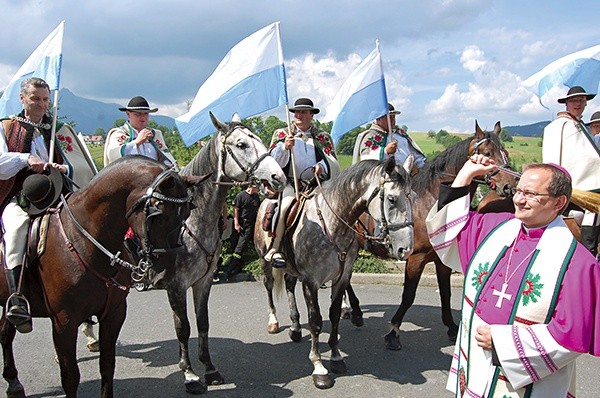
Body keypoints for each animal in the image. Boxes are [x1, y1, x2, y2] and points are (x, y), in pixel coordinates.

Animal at [0, 156, 205, 398]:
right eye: (158, 214)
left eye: (187, 213)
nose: (166, 270)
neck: (84, 241)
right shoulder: (64, 321)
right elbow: (70, 377)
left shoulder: (114, 313)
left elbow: (107, 366)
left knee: (5, 333)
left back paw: (13, 382)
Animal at [145, 112, 286, 394]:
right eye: (242, 144)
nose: (278, 177)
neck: (189, 221)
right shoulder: (176, 285)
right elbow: (183, 327)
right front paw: (189, 374)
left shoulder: (203, 281)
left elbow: (202, 323)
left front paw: (209, 369)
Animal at [252, 155, 412, 388]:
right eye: (391, 199)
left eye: (412, 197)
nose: (405, 249)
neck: (331, 223)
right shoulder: (311, 281)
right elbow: (316, 321)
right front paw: (319, 367)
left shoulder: (341, 278)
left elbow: (334, 315)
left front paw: (336, 357)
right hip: (265, 260)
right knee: (269, 285)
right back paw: (273, 321)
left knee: (289, 285)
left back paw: (295, 327)